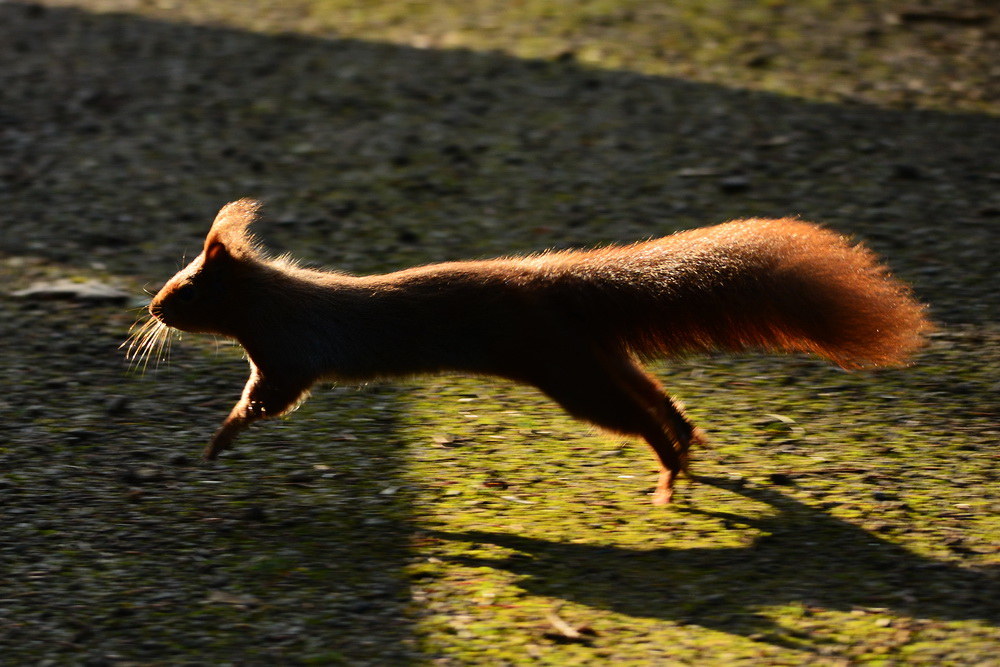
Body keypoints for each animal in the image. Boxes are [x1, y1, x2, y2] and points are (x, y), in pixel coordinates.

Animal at [129, 201, 932, 504]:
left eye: (190, 289)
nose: (154, 307)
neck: (271, 300)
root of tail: (554, 282)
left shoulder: (290, 355)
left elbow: (267, 399)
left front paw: (218, 439)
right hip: (589, 356)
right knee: (655, 395)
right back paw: (687, 444)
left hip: (566, 372)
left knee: (637, 415)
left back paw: (670, 469)